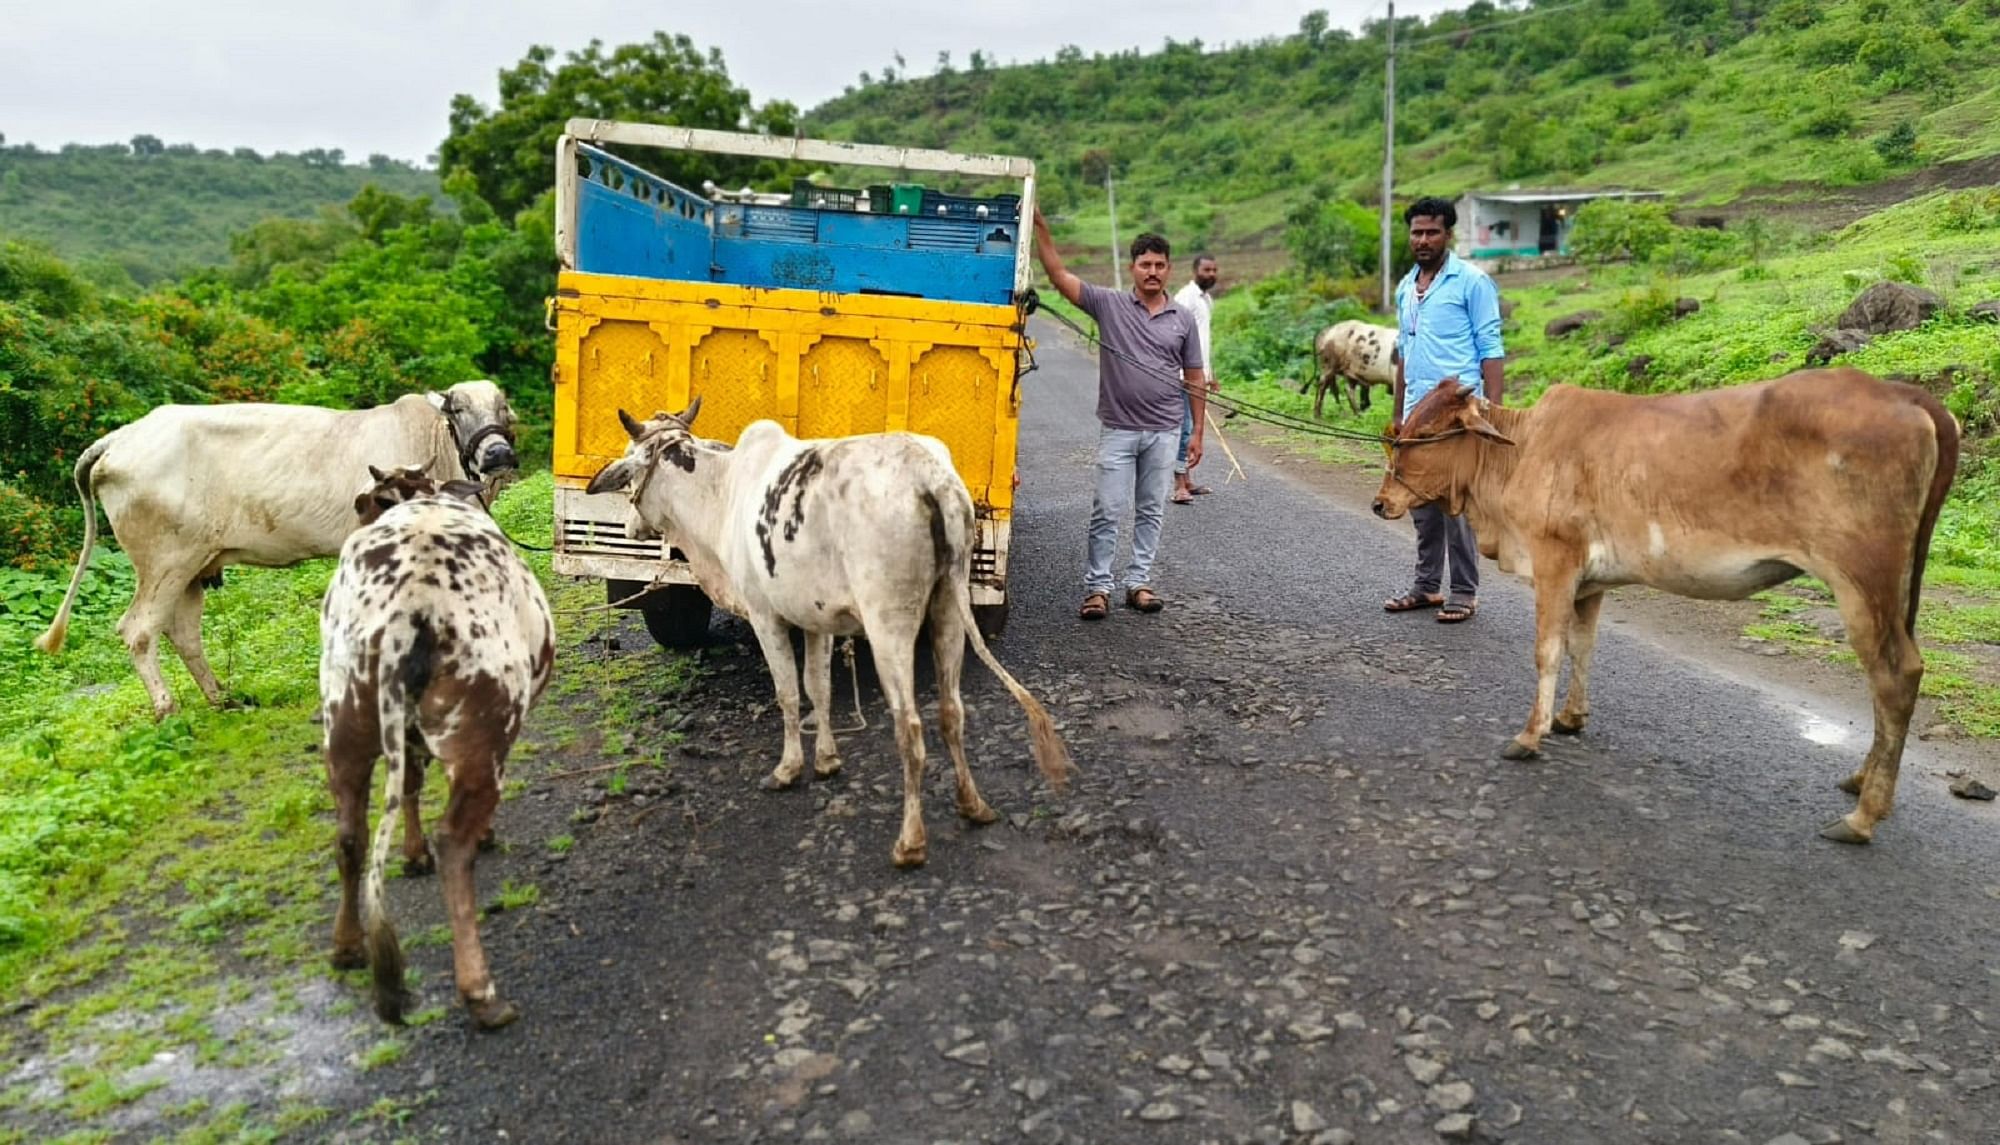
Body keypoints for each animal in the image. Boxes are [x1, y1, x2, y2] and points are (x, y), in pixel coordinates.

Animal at [320, 464, 556, 1024]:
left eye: (363, 505)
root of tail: (409, 611)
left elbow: (408, 785)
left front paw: (412, 853)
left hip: (345, 722)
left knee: (350, 836)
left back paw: (347, 945)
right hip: (482, 729)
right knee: (454, 842)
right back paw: (480, 991)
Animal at [584, 402, 1072, 868]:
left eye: (629, 465)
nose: (629, 526)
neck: (722, 493)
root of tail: (929, 481)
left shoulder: (765, 615)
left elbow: (787, 694)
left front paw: (788, 768)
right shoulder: (816, 621)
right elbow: (818, 688)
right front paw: (827, 759)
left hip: (888, 623)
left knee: (910, 727)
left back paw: (910, 843)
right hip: (950, 611)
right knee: (952, 712)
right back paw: (972, 804)